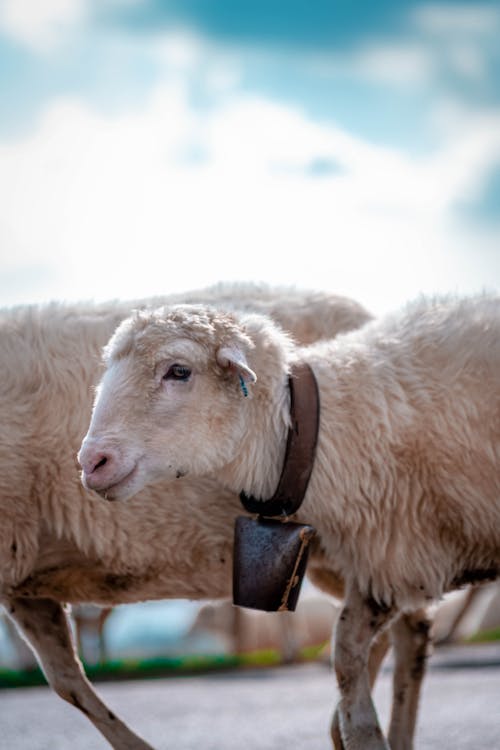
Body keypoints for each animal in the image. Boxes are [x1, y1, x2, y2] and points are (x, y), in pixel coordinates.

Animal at [81, 294, 500, 750]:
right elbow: (348, 653)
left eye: (179, 371)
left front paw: (359, 732)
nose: (91, 462)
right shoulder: (387, 560)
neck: (324, 433)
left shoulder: (394, 556)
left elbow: (345, 654)